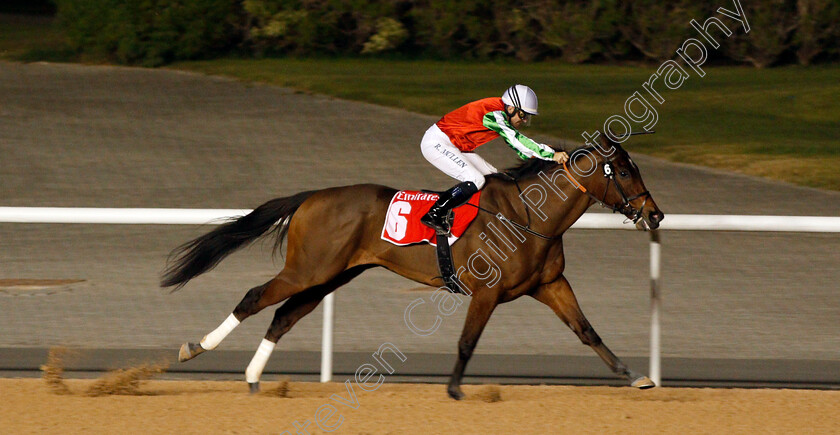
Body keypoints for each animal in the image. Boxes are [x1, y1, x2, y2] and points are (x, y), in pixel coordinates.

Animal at [162, 135, 664, 400]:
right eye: (623, 171)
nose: (655, 214)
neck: (530, 217)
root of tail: (312, 196)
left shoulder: (551, 283)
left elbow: (587, 331)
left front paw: (635, 376)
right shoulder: (487, 292)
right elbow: (467, 341)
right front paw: (455, 390)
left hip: (331, 274)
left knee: (284, 316)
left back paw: (252, 377)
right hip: (308, 269)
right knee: (254, 298)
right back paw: (195, 347)